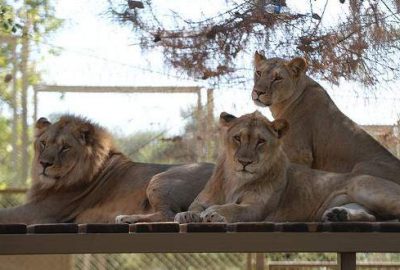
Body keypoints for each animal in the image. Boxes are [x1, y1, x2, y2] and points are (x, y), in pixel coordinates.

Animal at [0, 115, 214, 224]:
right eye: (43, 143)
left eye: (65, 147)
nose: (43, 164)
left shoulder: (41, 212)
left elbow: (5, 214)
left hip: (159, 179)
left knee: (169, 215)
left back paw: (127, 218)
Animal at [176, 112, 400, 224]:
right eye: (238, 138)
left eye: (260, 141)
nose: (244, 162)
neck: (235, 179)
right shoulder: (201, 200)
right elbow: (194, 207)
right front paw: (187, 215)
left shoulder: (255, 208)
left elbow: (232, 208)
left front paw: (214, 213)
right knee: (371, 215)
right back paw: (338, 215)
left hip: (364, 187)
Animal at [252, 51, 400, 184]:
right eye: (259, 73)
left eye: (278, 78)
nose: (258, 92)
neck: (281, 105)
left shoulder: (299, 153)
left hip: (361, 167)